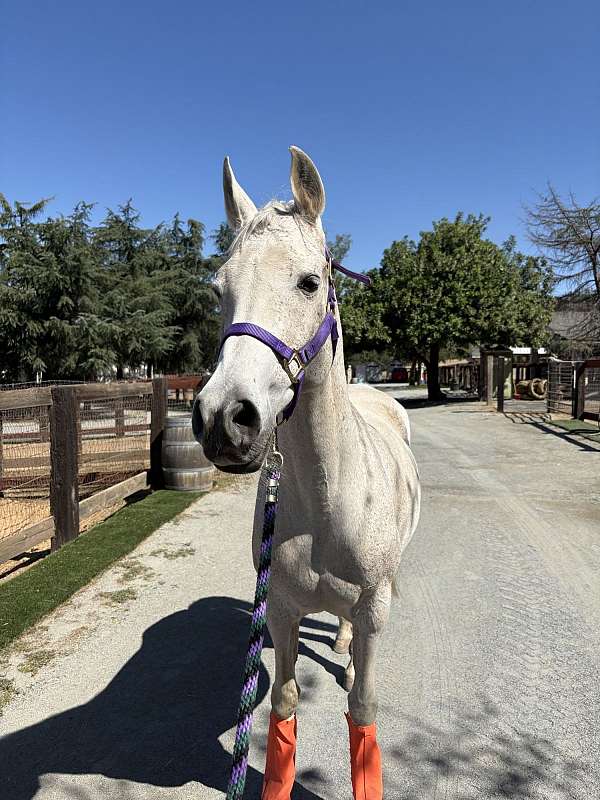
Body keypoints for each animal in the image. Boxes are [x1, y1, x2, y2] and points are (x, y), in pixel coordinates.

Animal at [192, 146, 421, 799]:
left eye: (309, 282)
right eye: (218, 288)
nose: (224, 418)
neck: (328, 499)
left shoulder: (372, 612)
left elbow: (363, 711)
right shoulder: (283, 612)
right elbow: (285, 705)